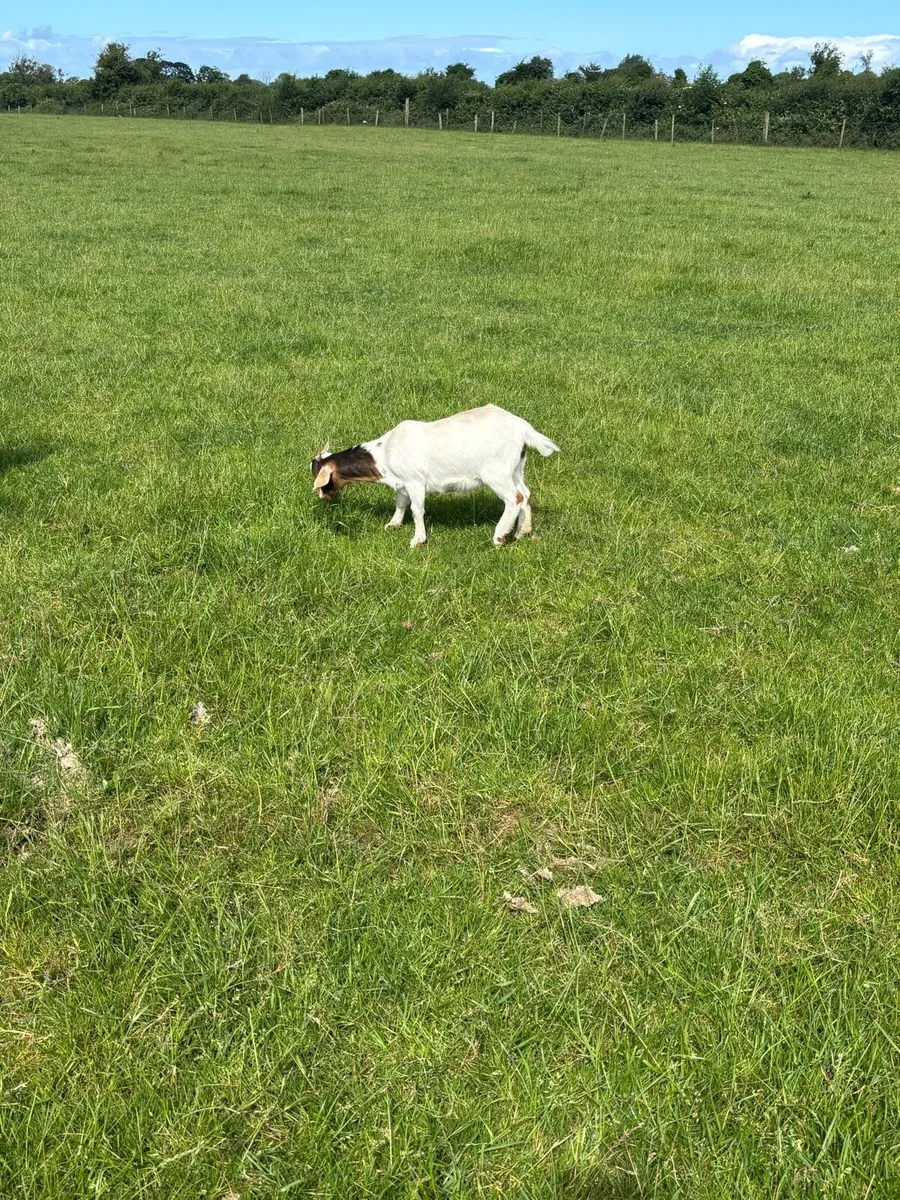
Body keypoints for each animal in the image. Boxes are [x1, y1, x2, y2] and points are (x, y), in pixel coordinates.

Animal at [311, 404, 559, 546]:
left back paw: (499, 537)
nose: (323, 499)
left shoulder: (415, 481)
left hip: (496, 472)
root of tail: (523, 429)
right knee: (526, 494)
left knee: (514, 498)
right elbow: (400, 503)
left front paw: (417, 540)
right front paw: (393, 524)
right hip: (515, 467)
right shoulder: (403, 483)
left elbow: (416, 510)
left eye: (321, 480)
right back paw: (522, 532)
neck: (384, 453)